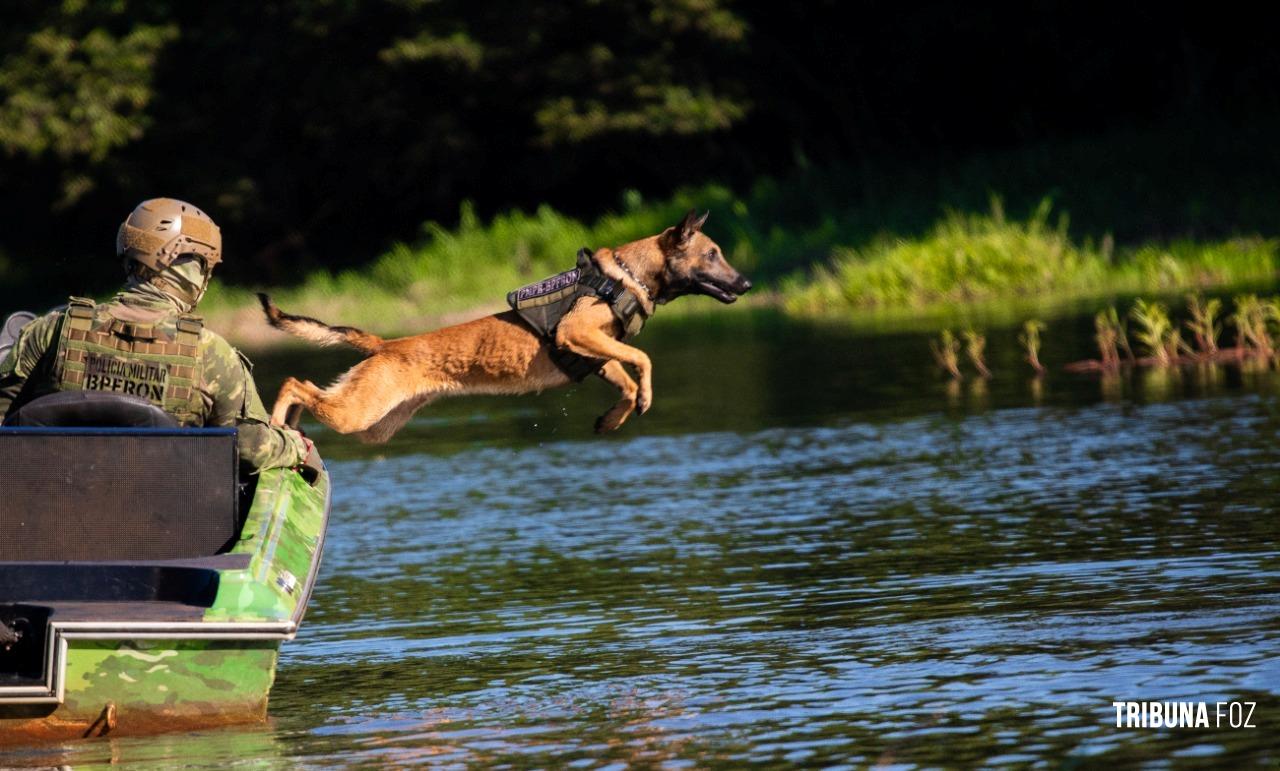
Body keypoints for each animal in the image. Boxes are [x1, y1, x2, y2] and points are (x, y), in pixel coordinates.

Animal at [258, 210, 747, 440]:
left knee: (305, 391)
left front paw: (613, 419)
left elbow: (625, 378)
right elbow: (643, 360)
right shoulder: (579, 335)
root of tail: (386, 344)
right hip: (358, 413)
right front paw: (643, 399)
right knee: (293, 383)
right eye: (711, 254)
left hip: (376, 424)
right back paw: (278, 422)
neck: (626, 276)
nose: (746, 282)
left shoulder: (594, 352)